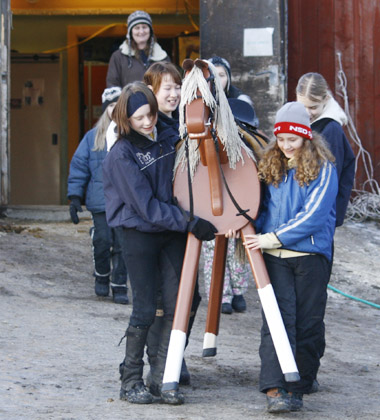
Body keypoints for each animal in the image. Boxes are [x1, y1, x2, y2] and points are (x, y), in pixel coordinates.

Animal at [160, 58, 300, 400]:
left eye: (208, 86)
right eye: (185, 90)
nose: (195, 126)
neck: (215, 166)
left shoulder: (247, 226)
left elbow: (269, 295)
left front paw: (290, 372)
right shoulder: (196, 230)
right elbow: (183, 300)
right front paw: (169, 381)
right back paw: (209, 342)